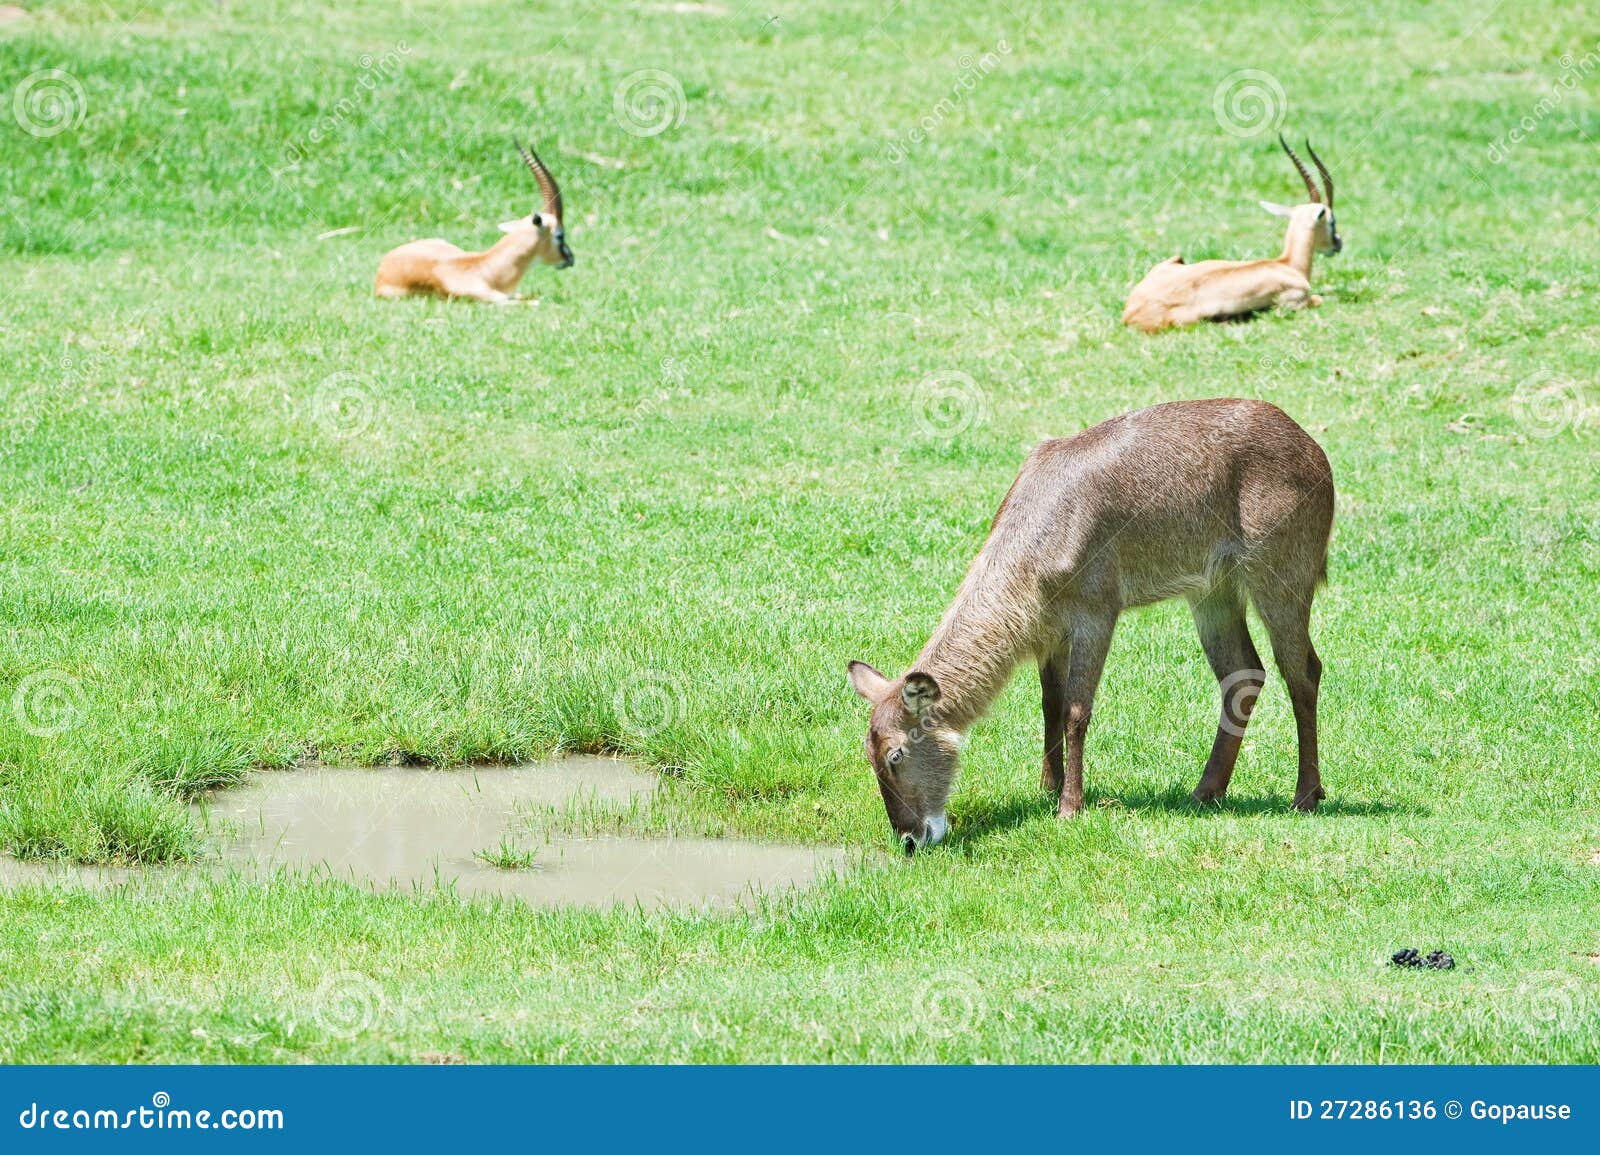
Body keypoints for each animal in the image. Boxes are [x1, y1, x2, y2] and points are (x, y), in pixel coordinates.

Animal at [847, 398, 1334, 856]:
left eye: (895, 754)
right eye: (868, 756)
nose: (910, 839)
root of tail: (1317, 454)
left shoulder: (1097, 610)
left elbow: (1077, 711)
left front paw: (1069, 807)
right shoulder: (1049, 631)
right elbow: (1050, 704)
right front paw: (1047, 788)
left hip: (1281, 573)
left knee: (1303, 669)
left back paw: (1306, 796)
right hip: (1212, 589)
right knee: (1243, 673)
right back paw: (1205, 791)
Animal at [1122, 136, 1340, 333]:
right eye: (1332, 220)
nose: (1338, 244)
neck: (1288, 265)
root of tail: (1129, 314)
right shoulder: (1294, 303)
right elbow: (1319, 299)